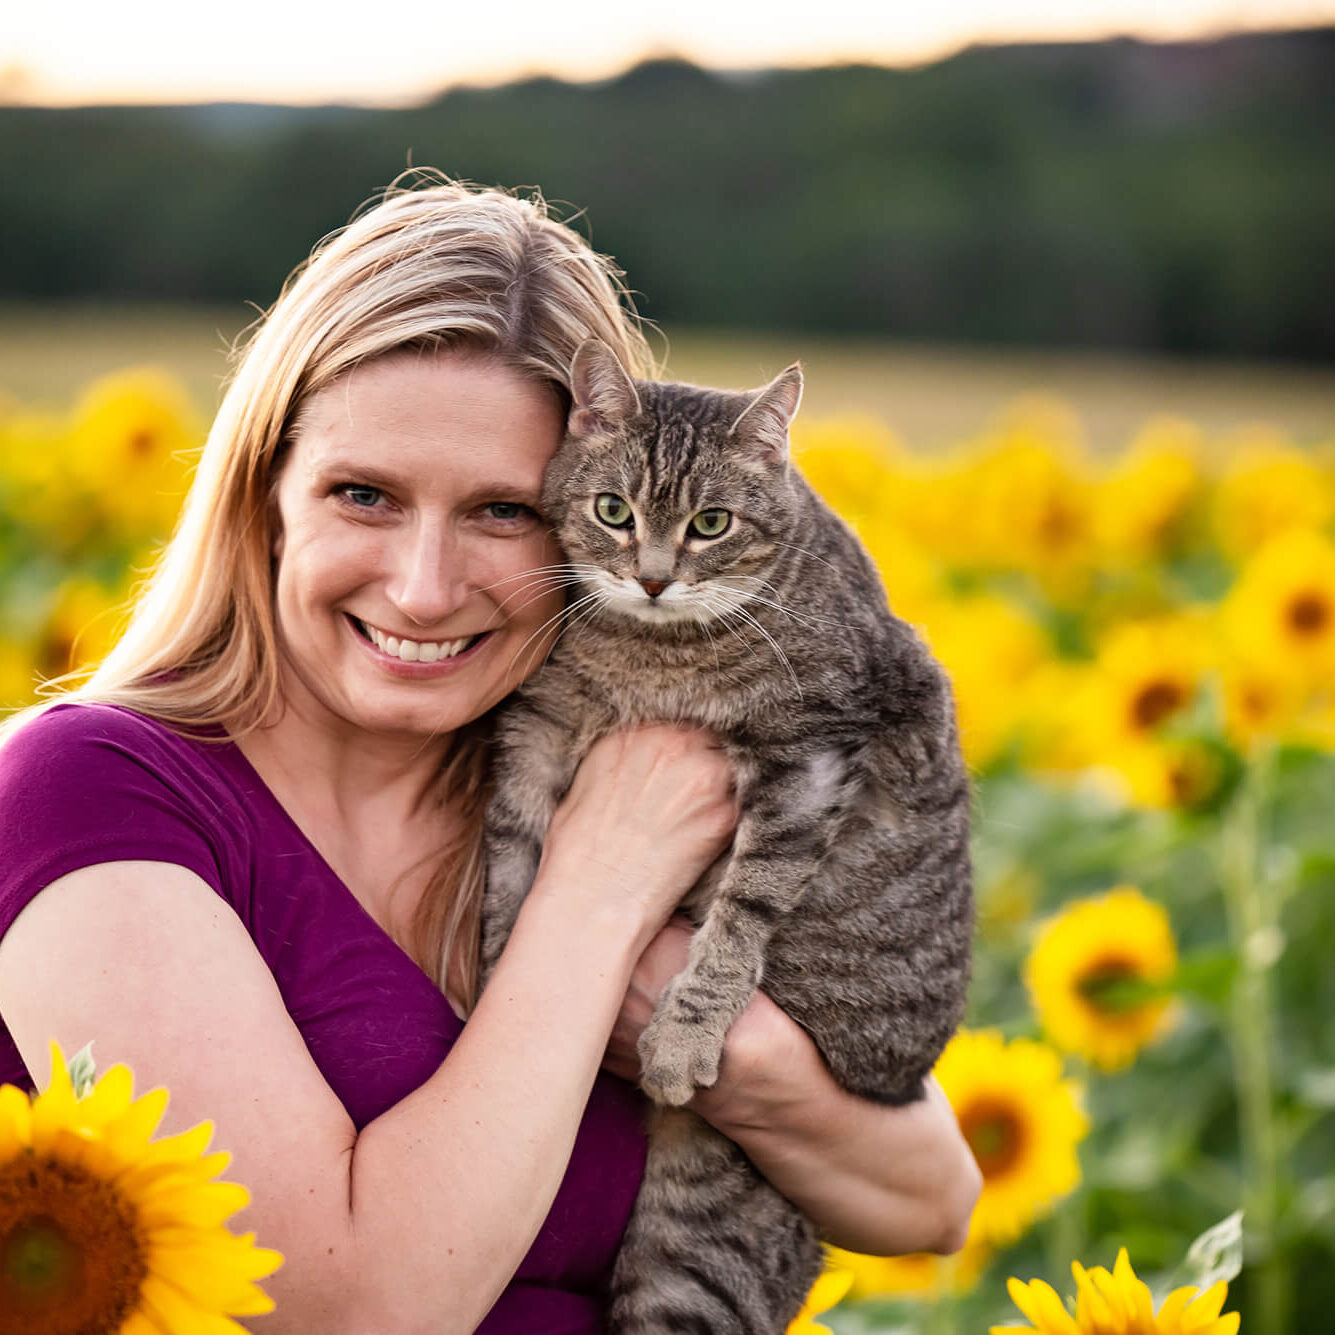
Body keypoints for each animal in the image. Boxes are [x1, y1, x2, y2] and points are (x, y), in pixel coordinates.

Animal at [480, 341, 971, 1335]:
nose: (653, 576)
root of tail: (898, 1079)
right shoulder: (539, 721)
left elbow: (744, 908)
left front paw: (683, 1031)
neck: (652, 654)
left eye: (711, 523)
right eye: (613, 510)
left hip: (703, 1246)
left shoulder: (806, 754)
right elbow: (511, 849)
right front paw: (497, 959)